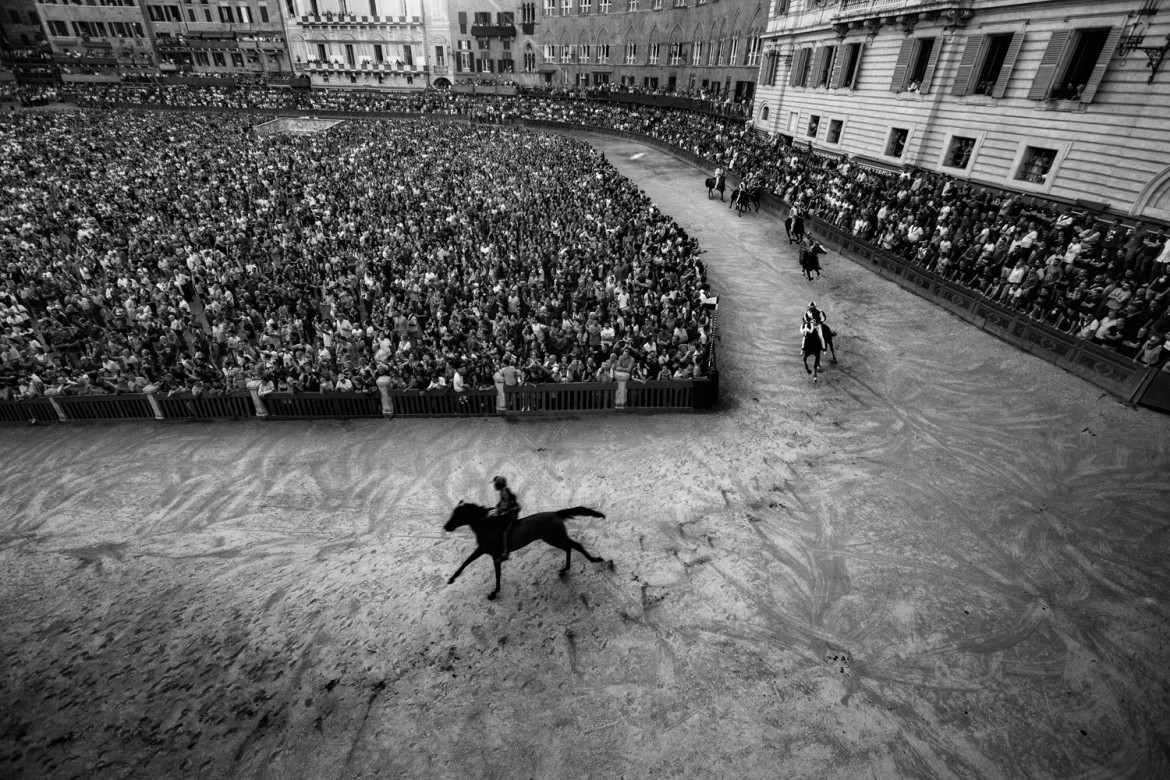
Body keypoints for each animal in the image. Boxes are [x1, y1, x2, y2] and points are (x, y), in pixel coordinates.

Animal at [439, 502, 613, 603]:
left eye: (458, 515)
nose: (447, 526)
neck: (486, 527)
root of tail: (556, 513)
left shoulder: (495, 555)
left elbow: (497, 574)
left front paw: (494, 593)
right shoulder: (482, 550)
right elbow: (466, 562)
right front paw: (451, 579)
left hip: (554, 537)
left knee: (575, 545)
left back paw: (595, 559)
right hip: (553, 538)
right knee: (569, 548)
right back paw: (565, 570)